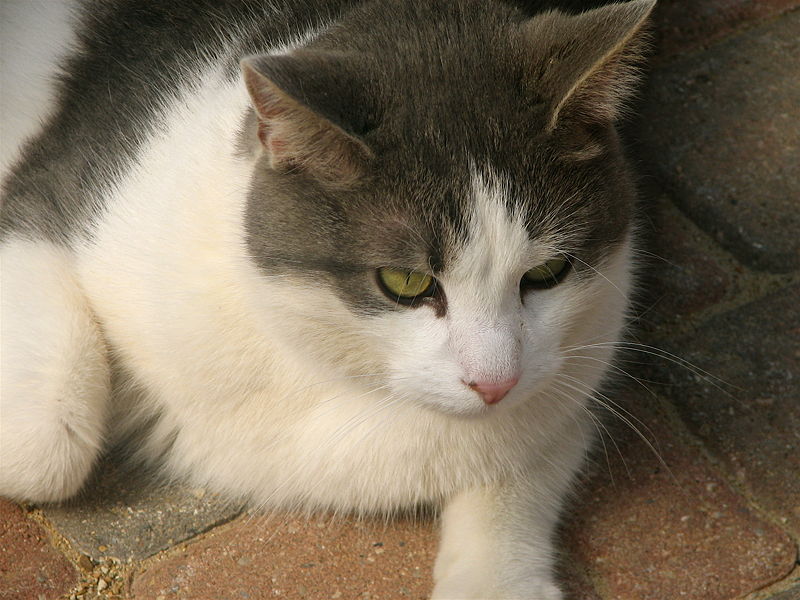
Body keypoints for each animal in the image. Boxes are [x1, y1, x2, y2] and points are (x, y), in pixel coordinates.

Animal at [1, 0, 656, 596]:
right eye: (405, 282)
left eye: (548, 271)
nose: (495, 384)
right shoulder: (50, 193)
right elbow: (45, 448)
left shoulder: (576, 369)